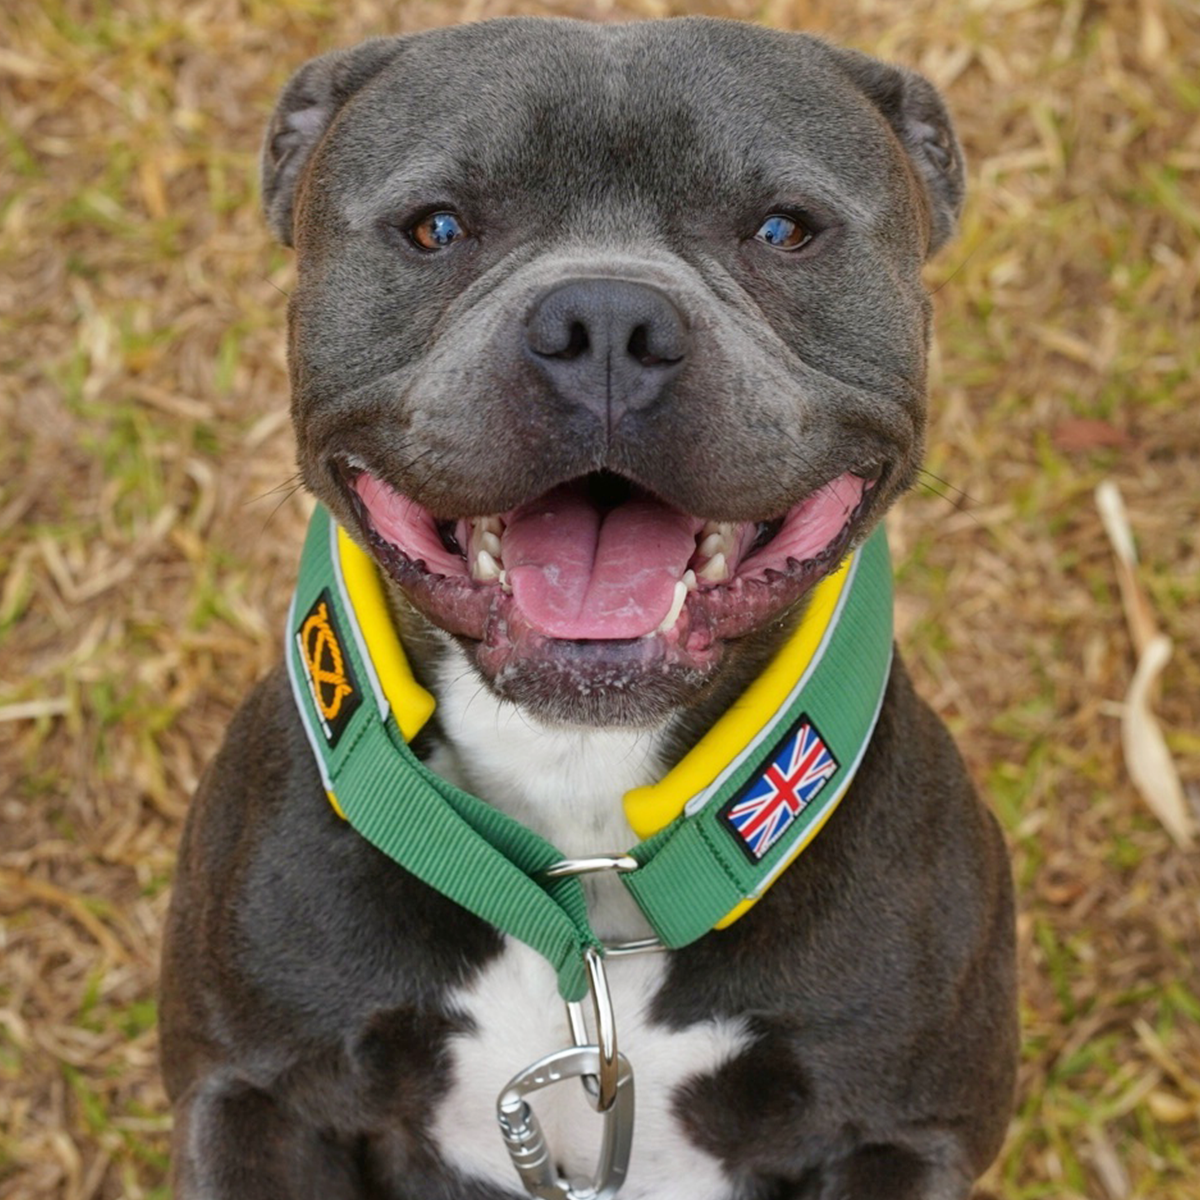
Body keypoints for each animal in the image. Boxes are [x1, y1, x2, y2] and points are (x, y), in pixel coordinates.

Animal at [159, 16, 1017, 1200]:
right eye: (436, 227)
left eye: (785, 229)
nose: (605, 319)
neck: (583, 854)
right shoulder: (253, 1090)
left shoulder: (902, 1131)